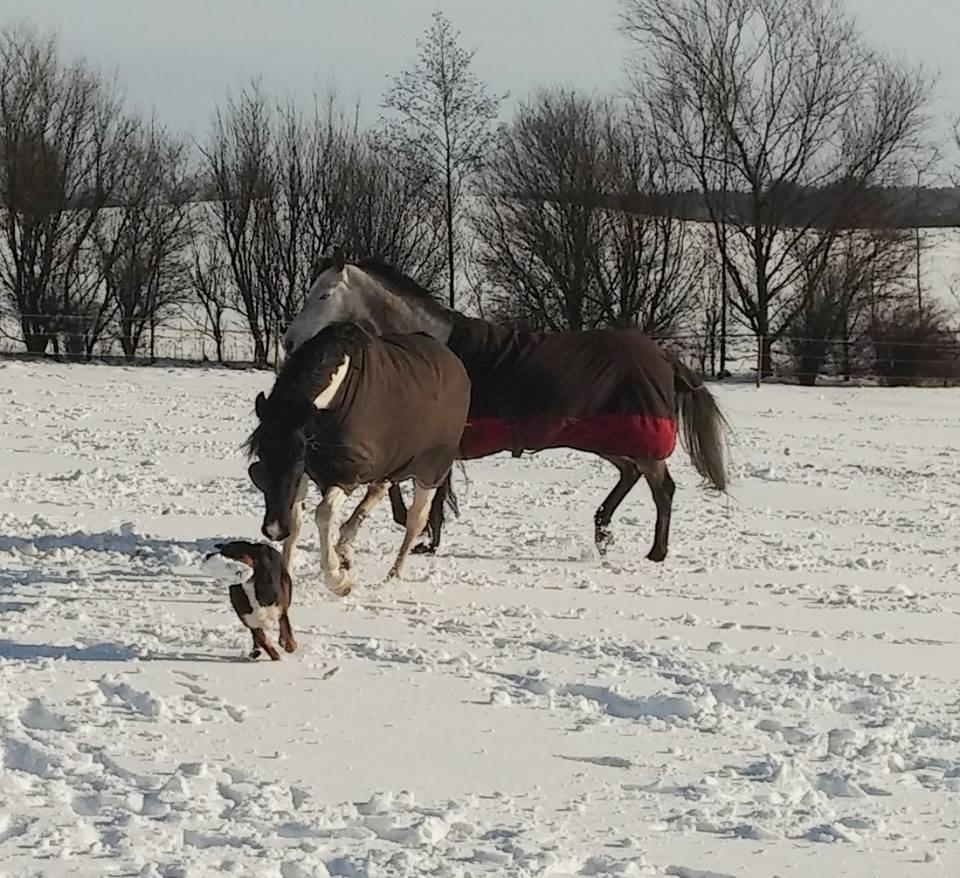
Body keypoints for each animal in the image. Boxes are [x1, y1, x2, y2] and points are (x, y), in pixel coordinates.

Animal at [245, 321, 470, 596]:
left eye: (299, 456)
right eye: (262, 453)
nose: (274, 530)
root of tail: (455, 362)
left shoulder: (347, 475)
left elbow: (324, 514)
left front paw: (338, 579)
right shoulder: (311, 474)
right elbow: (297, 521)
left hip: (430, 471)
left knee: (416, 520)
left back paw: (392, 575)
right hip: (391, 464)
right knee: (377, 493)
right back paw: (345, 549)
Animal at [281, 252, 729, 562]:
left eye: (323, 294)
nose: (289, 341)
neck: (435, 349)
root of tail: (662, 356)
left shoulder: (436, 444)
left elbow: (423, 491)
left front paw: (422, 536)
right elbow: (412, 488)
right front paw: (425, 535)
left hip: (635, 438)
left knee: (662, 489)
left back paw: (654, 552)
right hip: (608, 436)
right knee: (631, 474)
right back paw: (602, 530)